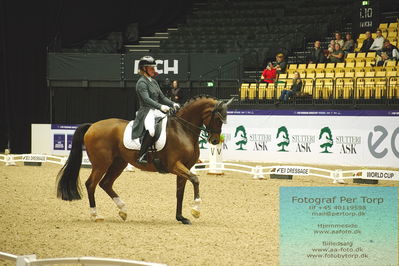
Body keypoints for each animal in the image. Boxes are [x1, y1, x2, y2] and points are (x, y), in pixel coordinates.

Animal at [56, 95, 234, 224]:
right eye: (218, 118)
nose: (215, 141)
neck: (183, 129)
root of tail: (92, 125)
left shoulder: (185, 167)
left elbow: (180, 192)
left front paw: (181, 218)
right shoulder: (174, 165)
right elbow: (196, 180)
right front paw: (196, 209)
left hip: (119, 163)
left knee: (105, 183)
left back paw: (123, 210)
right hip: (101, 164)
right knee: (91, 184)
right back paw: (96, 215)